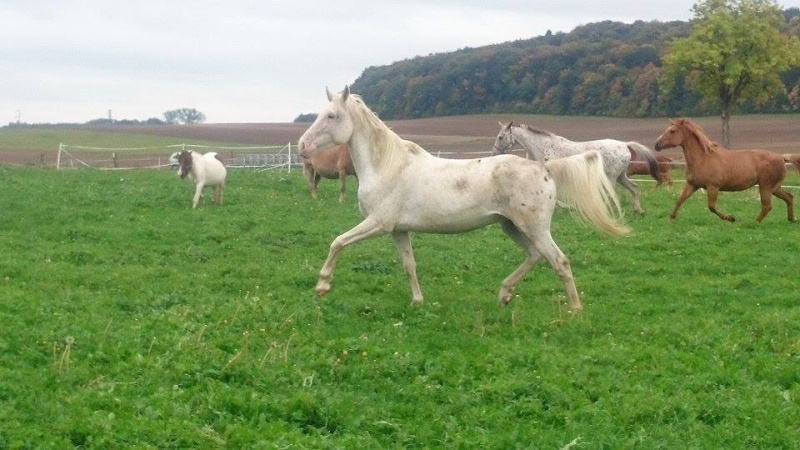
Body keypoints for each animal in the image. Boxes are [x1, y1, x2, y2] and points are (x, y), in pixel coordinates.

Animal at [296, 88, 628, 312]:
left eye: (332, 115)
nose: (302, 146)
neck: (388, 166)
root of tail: (544, 168)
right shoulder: (398, 230)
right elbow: (409, 265)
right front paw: (418, 301)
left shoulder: (378, 223)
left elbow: (338, 242)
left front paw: (322, 286)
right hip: (512, 226)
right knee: (535, 256)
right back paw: (504, 294)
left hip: (534, 228)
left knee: (558, 260)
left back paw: (574, 309)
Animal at [490, 123, 660, 214]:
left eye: (500, 137)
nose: (493, 153)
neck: (543, 147)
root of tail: (624, 144)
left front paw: (569, 207)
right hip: (621, 176)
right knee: (635, 188)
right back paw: (639, 210)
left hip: (611, 177)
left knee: (611, 195)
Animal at [652, 117, 796, 221]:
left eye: (672, 131)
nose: (656, 144)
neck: (703, 159)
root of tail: (781, 158)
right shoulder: (692, 185)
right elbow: (679, 200)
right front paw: (671, 218)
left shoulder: (713, 187)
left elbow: (711, 207)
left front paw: (730, 218)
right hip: (774, 187)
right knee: (789, 197)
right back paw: (792, 219)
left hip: (765, 186)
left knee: (767, 206)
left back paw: (754, 222)